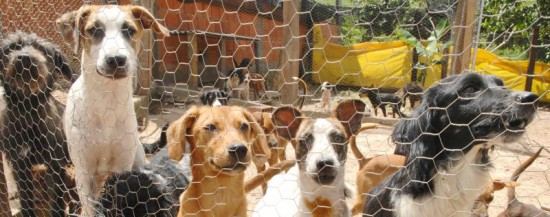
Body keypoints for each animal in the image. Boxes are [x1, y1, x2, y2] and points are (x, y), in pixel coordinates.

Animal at [0, 31, 75, 217]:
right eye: (13, 47)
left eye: (41, 49)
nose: (25, 58)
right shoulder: (19, 164)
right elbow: (26, 197)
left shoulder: (54, 164)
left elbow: (56, 199)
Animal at [57, 5, 170, 217]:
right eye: (94, 30)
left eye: (129, 30)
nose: (116, 59)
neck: (106, 103)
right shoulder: (83, 170)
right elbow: (91, 207)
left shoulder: (122, 167)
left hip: (138, 161)